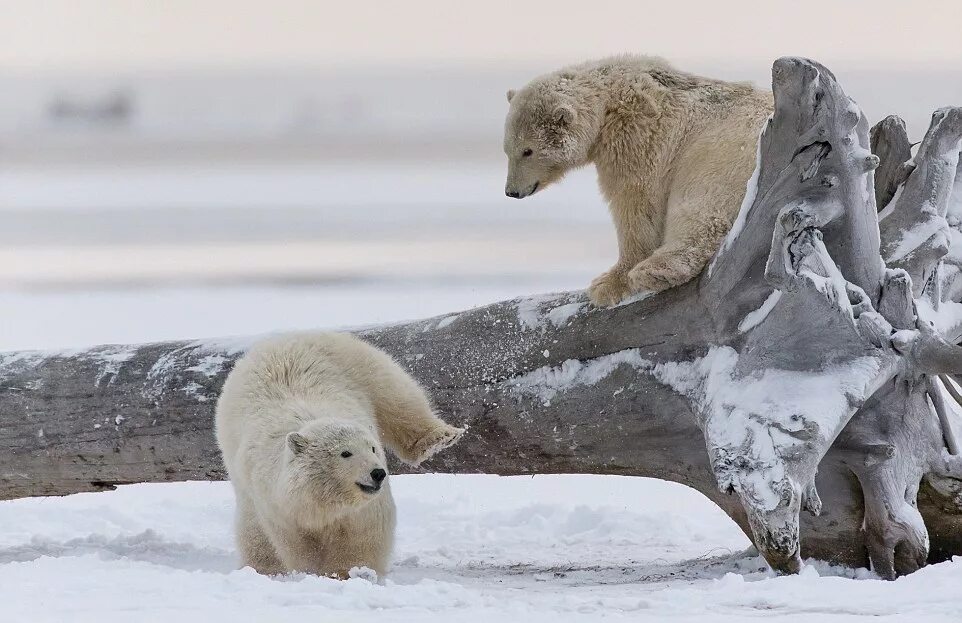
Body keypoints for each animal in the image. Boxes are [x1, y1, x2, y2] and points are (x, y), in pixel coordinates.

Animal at [214, 332, 462, 580]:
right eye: (345, 453)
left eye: (373, 448)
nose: (378, 473)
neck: (324, 502)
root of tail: (280, 339)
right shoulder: (278, 505)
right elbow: (294, 542)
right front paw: (310, 571)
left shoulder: (363, 506)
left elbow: (365, 530)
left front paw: (349, 572)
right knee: (252, 529)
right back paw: (262, 568)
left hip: (355, 362)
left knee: (396, 395)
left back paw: (440, 438)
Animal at [502, 55, 772, 308]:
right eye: (507, 149)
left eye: (527, 151)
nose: (511, 191)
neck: (609, 100)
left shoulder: (638, 136)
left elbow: (636, 204)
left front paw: (608, 283)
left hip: (724, 150)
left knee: (701, 202)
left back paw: (656, 270)